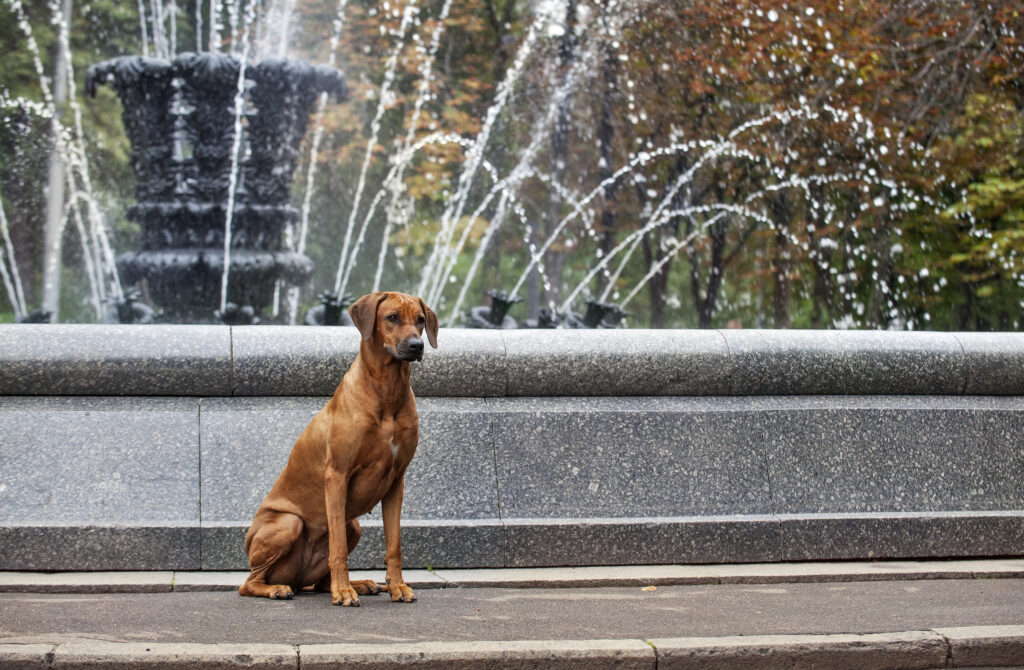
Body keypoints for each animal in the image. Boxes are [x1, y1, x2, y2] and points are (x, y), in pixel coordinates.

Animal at [241, 290, 438, 606]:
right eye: (392, 317)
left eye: (420, 320)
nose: (416, 345)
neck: (387, 390)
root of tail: (296, 580)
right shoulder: (337, 476)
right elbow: (338, 548)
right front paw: (343, 592)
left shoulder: (396, 482)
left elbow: (394, 544)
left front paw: (397, 586)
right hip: (288, 523)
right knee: (248, 583)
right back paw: (277, 589)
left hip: (353, 525)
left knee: (320, 583)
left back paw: (361, 583)